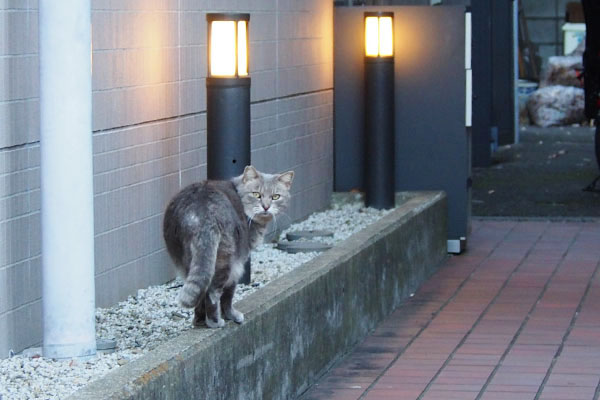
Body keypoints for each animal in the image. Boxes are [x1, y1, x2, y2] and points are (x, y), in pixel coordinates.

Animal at [163, 166, 294, 328]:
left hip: (187, 256)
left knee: (201, 287)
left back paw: (199, 321)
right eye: (256, 194)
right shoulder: (239, 261)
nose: (266, 207)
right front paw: (231, 315)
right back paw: (214, 321)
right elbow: (228, 294)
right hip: (225, 258)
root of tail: (200, 210)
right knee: (213, 292)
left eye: (276, 196)